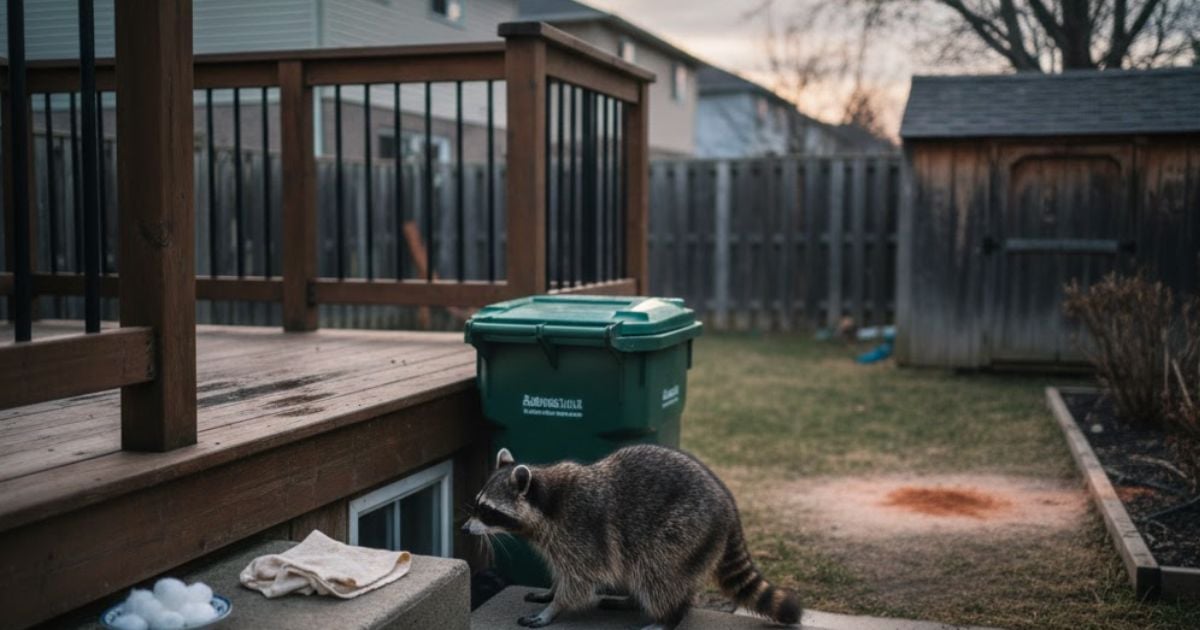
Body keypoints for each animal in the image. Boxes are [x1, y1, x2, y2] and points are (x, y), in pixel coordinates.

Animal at [464, 444, 801, 629]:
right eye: (477, 504)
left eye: (487, 510)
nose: (465, 529)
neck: (547, 500)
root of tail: (729, 505)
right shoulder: (558, 541)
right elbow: (564, 573)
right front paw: (550, 591)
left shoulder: (580, 531)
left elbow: (580, 581)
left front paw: (554, 608)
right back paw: (631, 600)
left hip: (684, 529)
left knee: (656, 571)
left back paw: (668, 617)